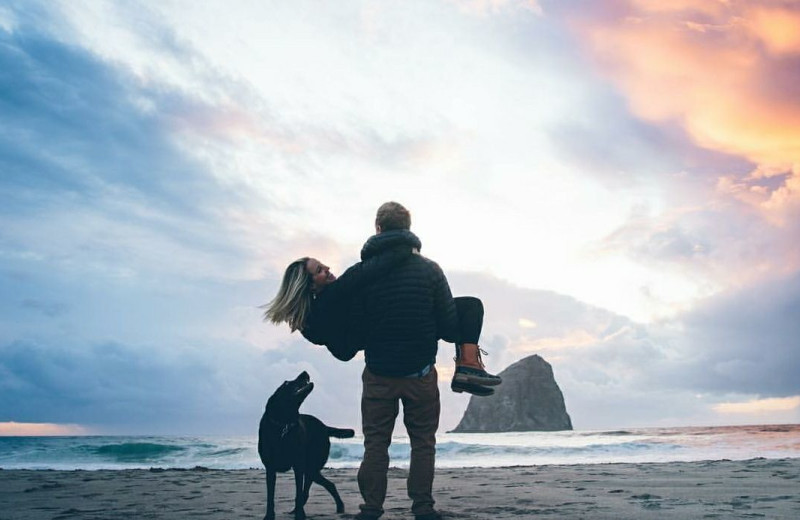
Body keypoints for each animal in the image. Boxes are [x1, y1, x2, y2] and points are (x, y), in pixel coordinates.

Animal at [258, 372, 354, 516]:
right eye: (286, 383)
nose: (305, 372)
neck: (283, 425)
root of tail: (324, 427)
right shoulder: (270, 468)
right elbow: (270, 496)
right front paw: (269, 516)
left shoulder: (298, 466)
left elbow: (298, 492)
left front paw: (300, 515)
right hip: (310, 469)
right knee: (321, 487)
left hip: (311, 467)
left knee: (314, 489)